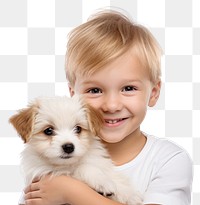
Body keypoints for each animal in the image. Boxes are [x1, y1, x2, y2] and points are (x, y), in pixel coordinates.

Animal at [9, 95, 142, 205]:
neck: (69, 164)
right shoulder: (48, 172)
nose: (68, 147)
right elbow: (84, 168)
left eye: (78, 128)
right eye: (48, 130)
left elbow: (111, 174)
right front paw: (103, 182)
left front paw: (129, 194)